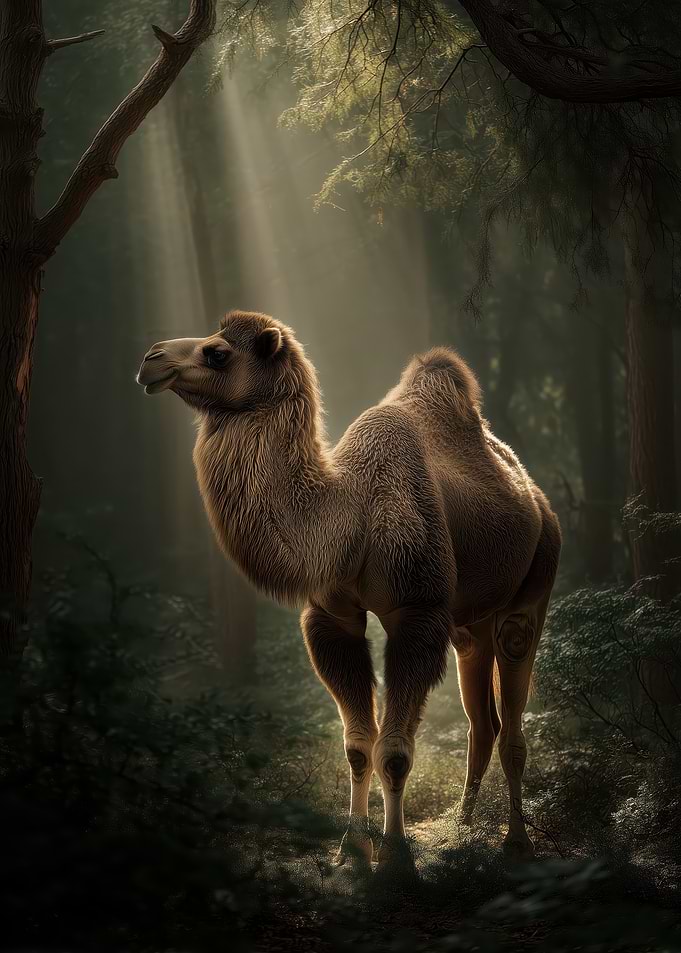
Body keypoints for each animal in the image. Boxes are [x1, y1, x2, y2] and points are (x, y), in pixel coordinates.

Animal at [137, 310, 561, 865]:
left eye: (217, 352)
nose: (151, 358)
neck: (350, 515)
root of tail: (536, 496)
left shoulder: (417, 611)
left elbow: (394, 751)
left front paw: (395, 855)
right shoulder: (333, 616)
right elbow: (358, 746)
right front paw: (353, 849)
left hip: (536, 578)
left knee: (513, 716)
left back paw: (517, 843)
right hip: (470, 622)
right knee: (481, 724)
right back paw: (462, 831)